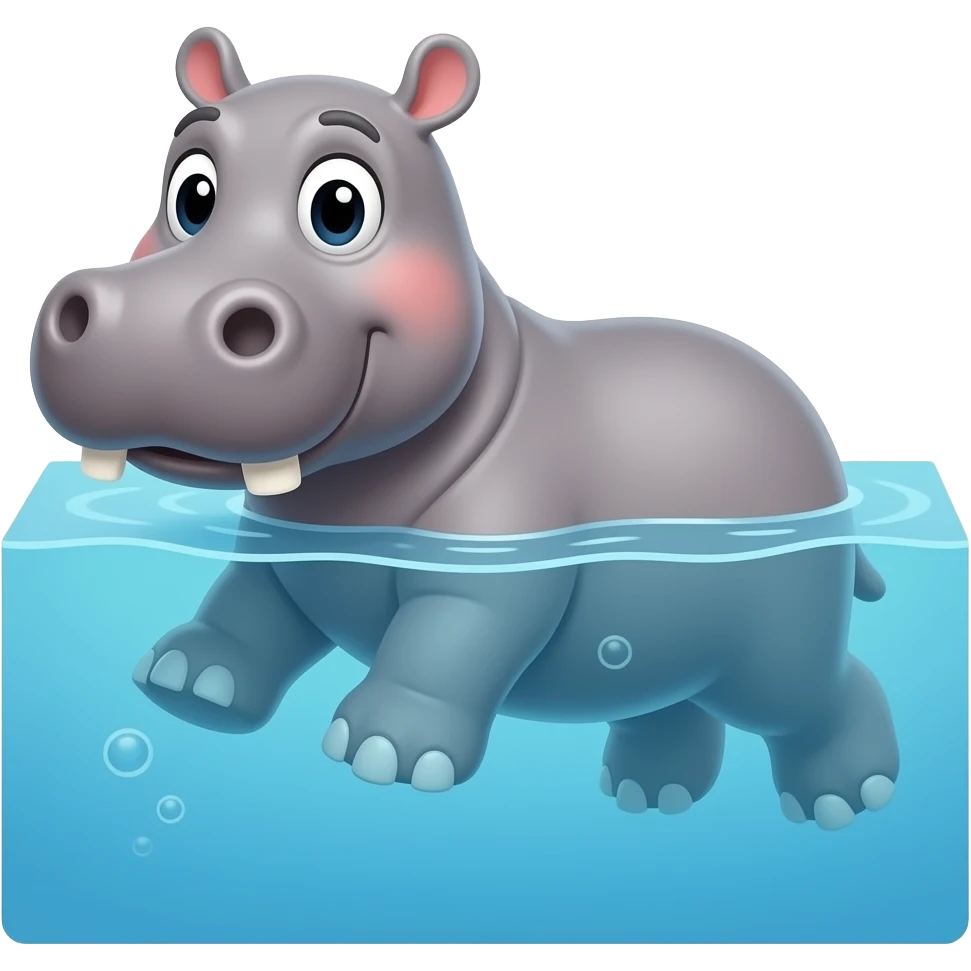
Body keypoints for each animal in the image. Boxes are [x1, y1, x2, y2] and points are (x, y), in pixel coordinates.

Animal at [30, 26, 899, 831]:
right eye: (192, 194)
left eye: (340, 207)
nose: (127, 318)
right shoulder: (285, 555)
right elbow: (246, 603)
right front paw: (188, 681)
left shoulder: (492, 562)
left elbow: (448, 638)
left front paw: (385, 752)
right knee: (665, 694)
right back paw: (649, 795)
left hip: (779, 624)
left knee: (817, 690)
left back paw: (844, 798)